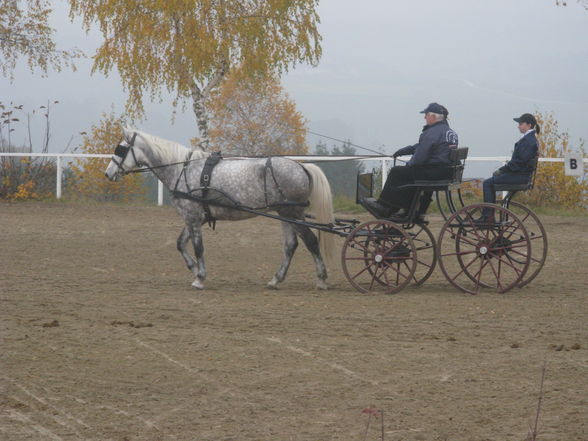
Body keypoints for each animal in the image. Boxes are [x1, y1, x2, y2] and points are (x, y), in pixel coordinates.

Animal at [105, 127, 336, 290]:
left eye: (121, 149)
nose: (108, 173)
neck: (182, 169)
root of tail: (301, 165)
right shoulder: (194, 217)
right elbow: (180, 244)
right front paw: (194, 268)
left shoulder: (192, 217)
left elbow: (198, 247)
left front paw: (200, 278)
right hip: (285, 213)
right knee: (290, 245)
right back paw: (275, 280)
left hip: (292, 213)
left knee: (311, 242)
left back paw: (322, 279)